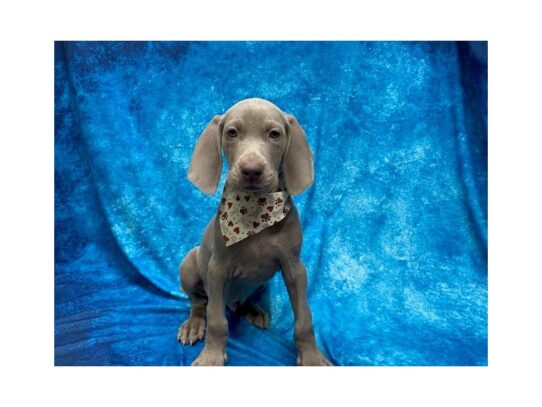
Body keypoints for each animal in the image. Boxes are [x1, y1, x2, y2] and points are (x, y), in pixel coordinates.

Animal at [178, 98, 332, 366]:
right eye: (231, 132)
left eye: (274, 134)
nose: (251, 170)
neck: (255, 212)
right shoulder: (216, 270)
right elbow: (216, 320)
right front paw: (211, 356)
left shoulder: (295, 268)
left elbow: (304, 319)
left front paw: (312, 356)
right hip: (189, 264)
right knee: (199, 302)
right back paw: (194, 324)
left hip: (261, 283)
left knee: (242, 300)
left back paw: (252, 310)